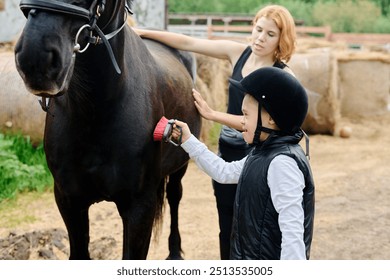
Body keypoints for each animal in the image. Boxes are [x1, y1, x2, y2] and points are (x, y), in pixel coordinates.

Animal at [14, 0, 201, 260]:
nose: (35, 59)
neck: (95, 111)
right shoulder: (69, 202)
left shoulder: (139, 207)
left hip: (179, 167)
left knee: (175, 197)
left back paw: (174, 252)